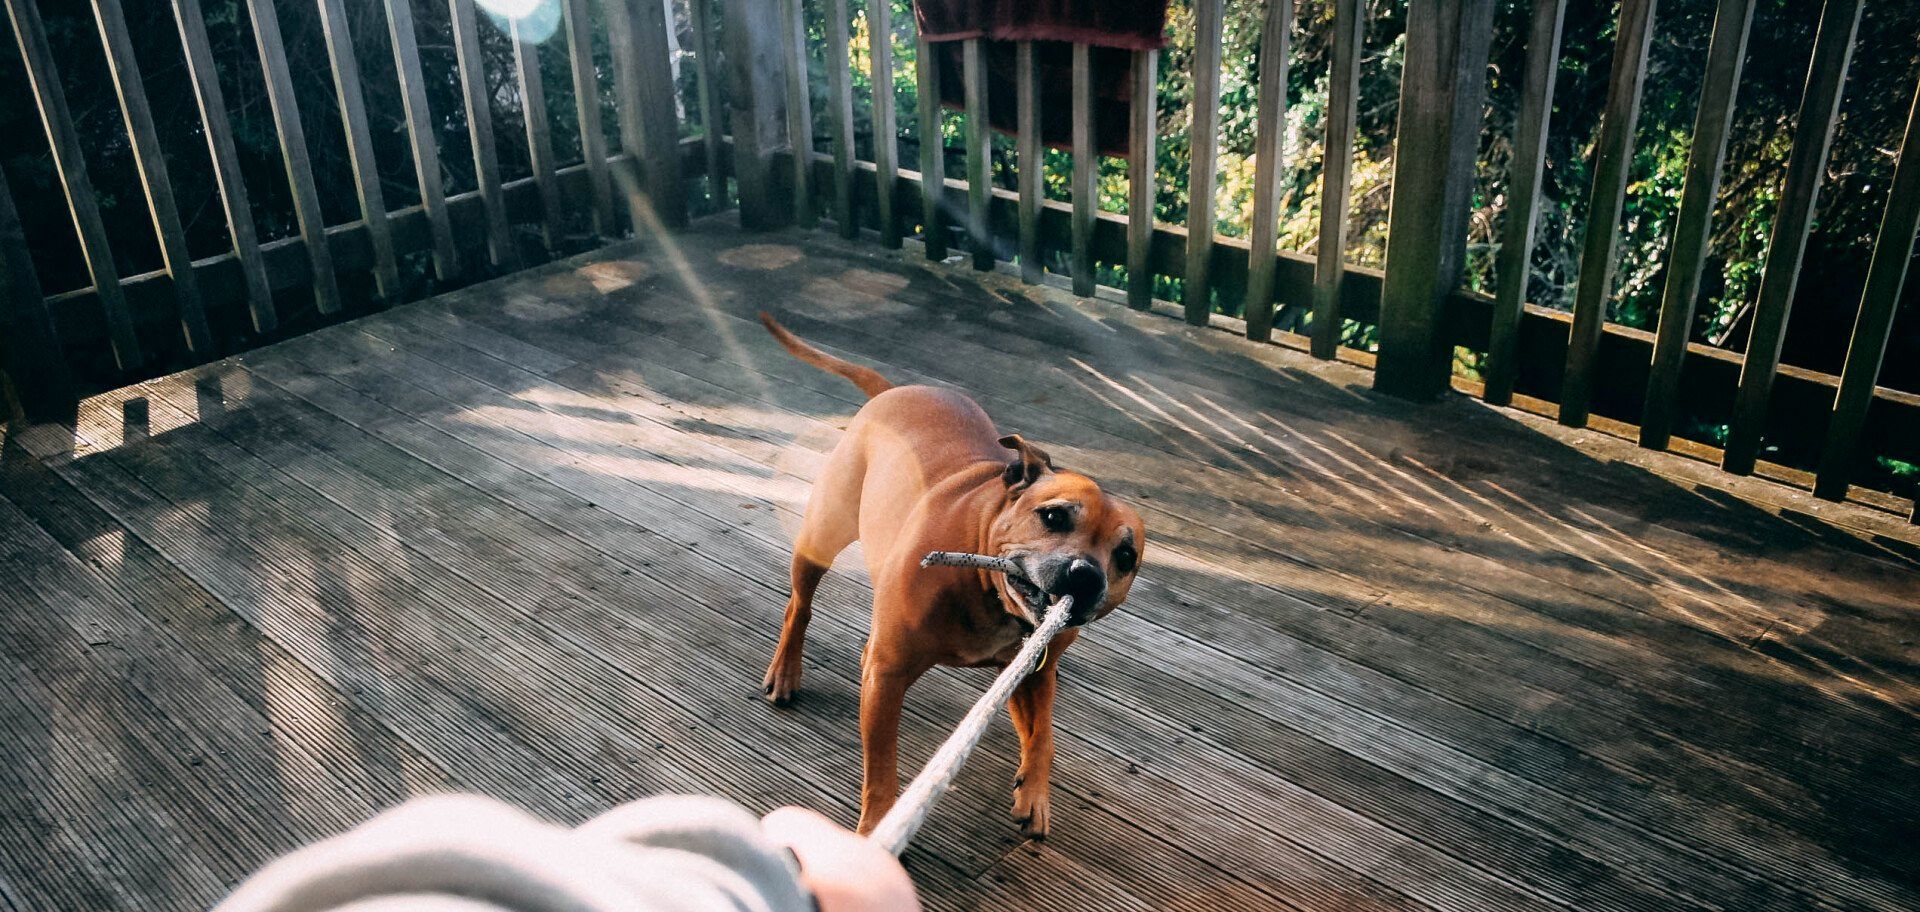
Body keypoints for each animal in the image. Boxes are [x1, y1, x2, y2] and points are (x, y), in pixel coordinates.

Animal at [752, 316, 1144, 840]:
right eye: (1054, 516)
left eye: (1125, 556)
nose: (1084, 577)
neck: (990, 596)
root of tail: (893, 390)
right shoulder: (888, 676)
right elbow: (882, 765)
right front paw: (877, 827)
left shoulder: (1030, 675)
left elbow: (1044, 734)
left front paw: (1035, 794)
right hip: (822, 533)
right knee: (800, 604)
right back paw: (785, 671)